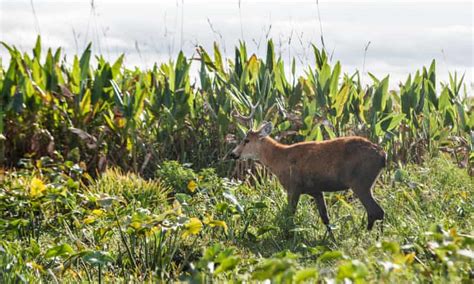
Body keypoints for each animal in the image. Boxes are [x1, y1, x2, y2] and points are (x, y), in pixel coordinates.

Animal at [229, 121, 386, 234]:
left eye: (246, 140)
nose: (233, 154)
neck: (280, 158)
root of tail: (383, 155)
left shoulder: (293, 187)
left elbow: (289, 215)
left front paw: (287, 235)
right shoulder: (315, 190)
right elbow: (325, 218)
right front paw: (330, 239)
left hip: (361, 182)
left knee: (376, 211)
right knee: (377, 212)